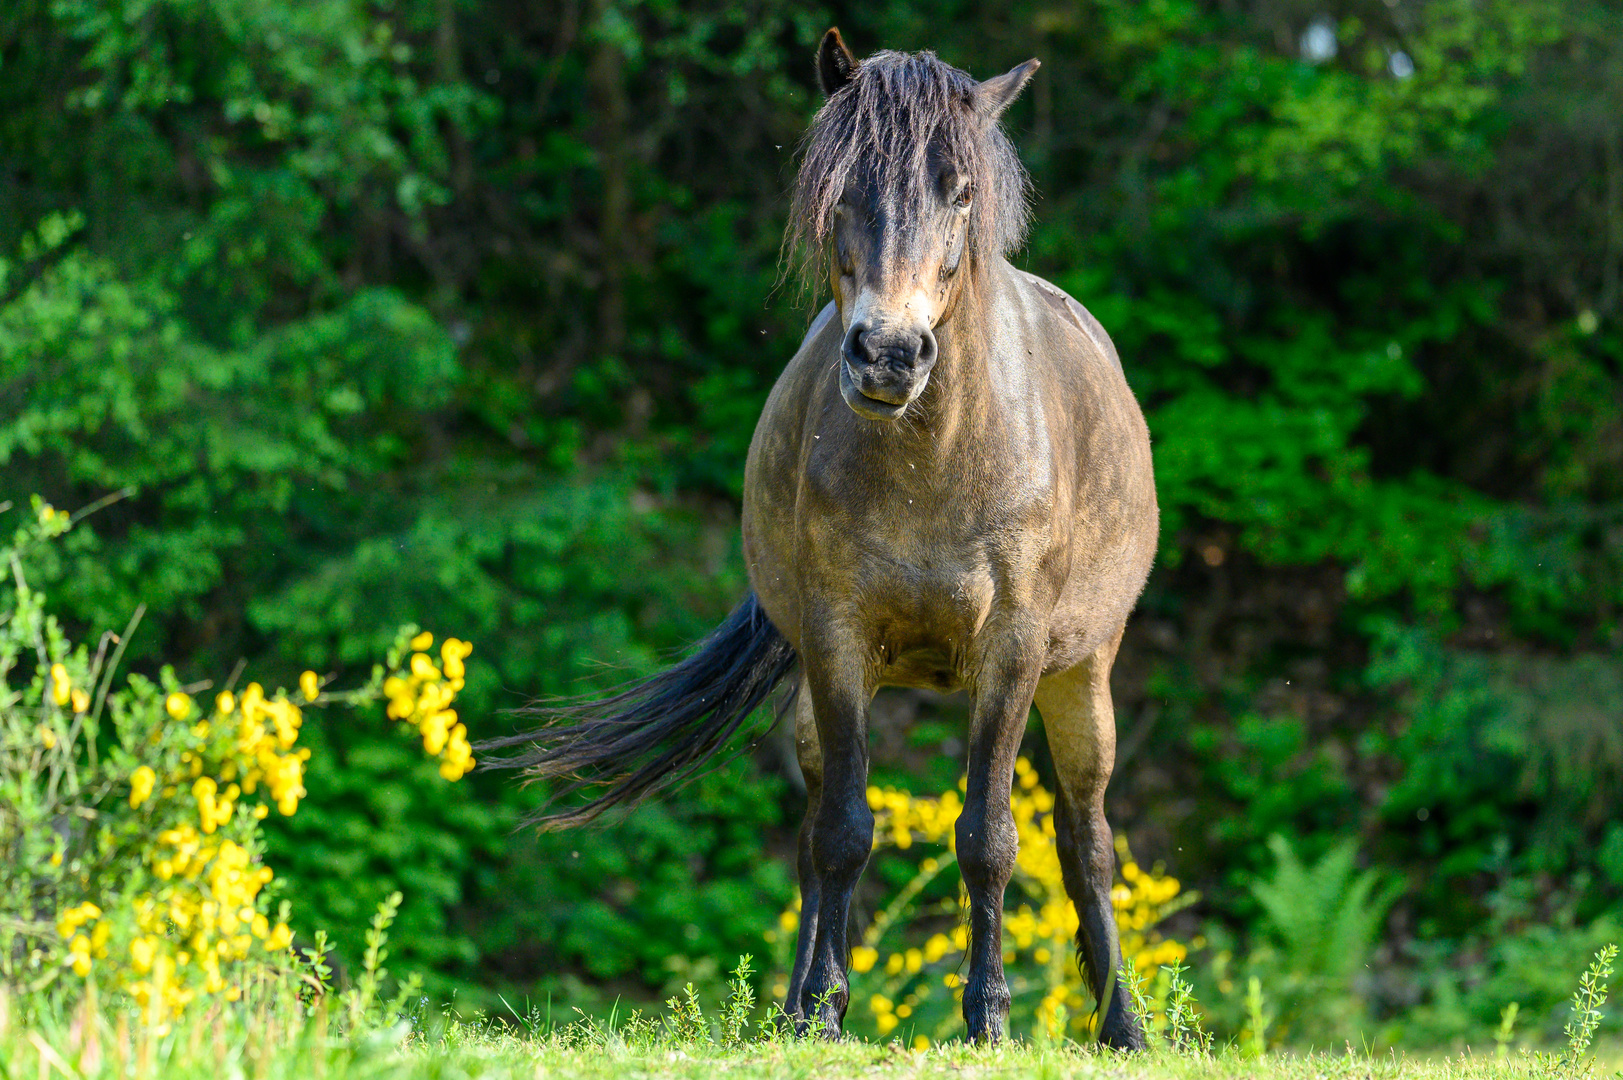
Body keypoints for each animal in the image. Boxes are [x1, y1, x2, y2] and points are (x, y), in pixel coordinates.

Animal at [477, 31, 1155, 1045]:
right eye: (844, 187)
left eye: (960, 191)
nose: (888, 354)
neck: (936, 450)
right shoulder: (838, 641)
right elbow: (839, 832)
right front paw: (820, 1013)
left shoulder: (1013, 650)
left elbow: (989, 838)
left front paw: (988, 1019)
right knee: (810, 836)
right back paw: (798, 1001)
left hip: (1082, 674)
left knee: (1085, 839)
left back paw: (1123, 1028)